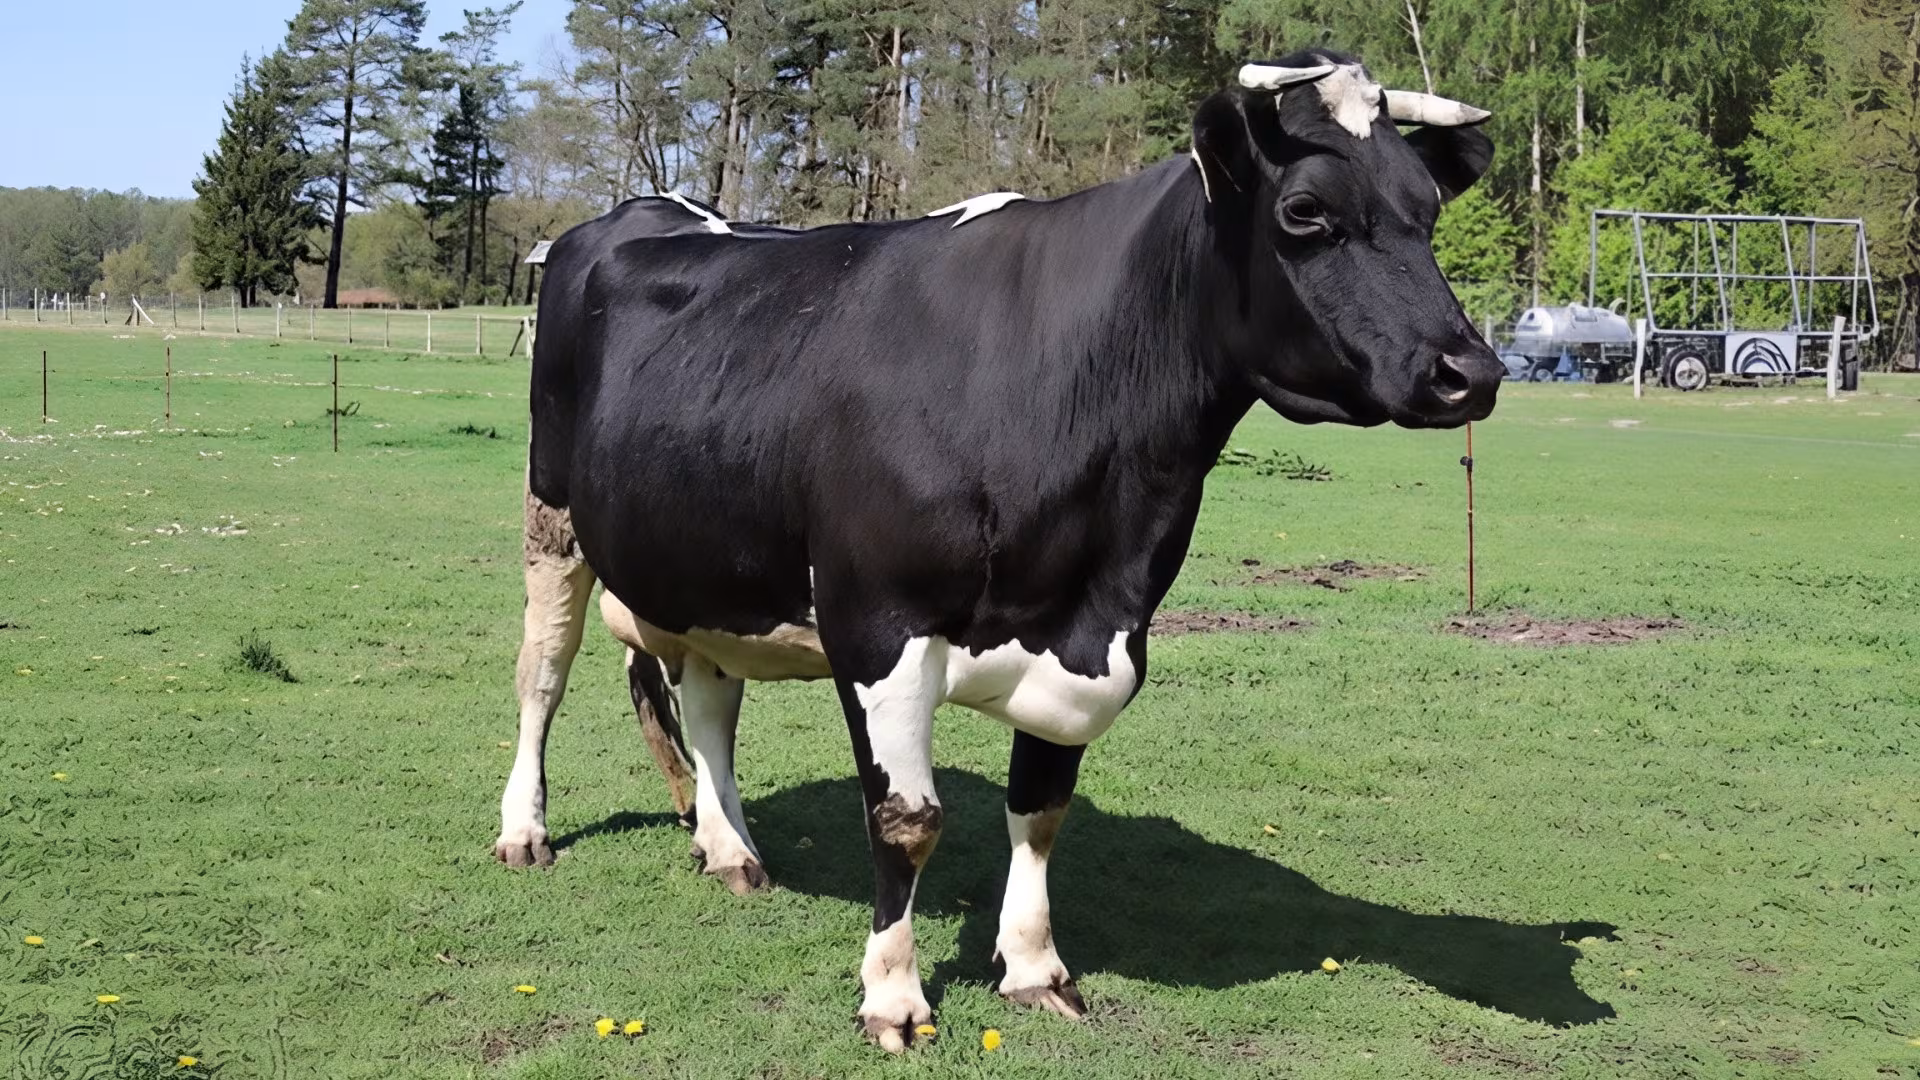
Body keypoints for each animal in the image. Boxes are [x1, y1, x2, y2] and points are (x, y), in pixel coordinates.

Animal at [495, 49, 1504, 1052]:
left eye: (1426, 209)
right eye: (1304, 212)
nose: (1473, 372)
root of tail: (641, 209)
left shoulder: (1087, 632)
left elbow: (1041, 811)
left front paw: (1031, 968)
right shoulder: (878, 623)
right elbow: (907, 820)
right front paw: (894, 997)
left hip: (711, 561)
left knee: (708, 700)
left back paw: (729, 848)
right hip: (552, 516)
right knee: (541, 676)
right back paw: (525, 832)